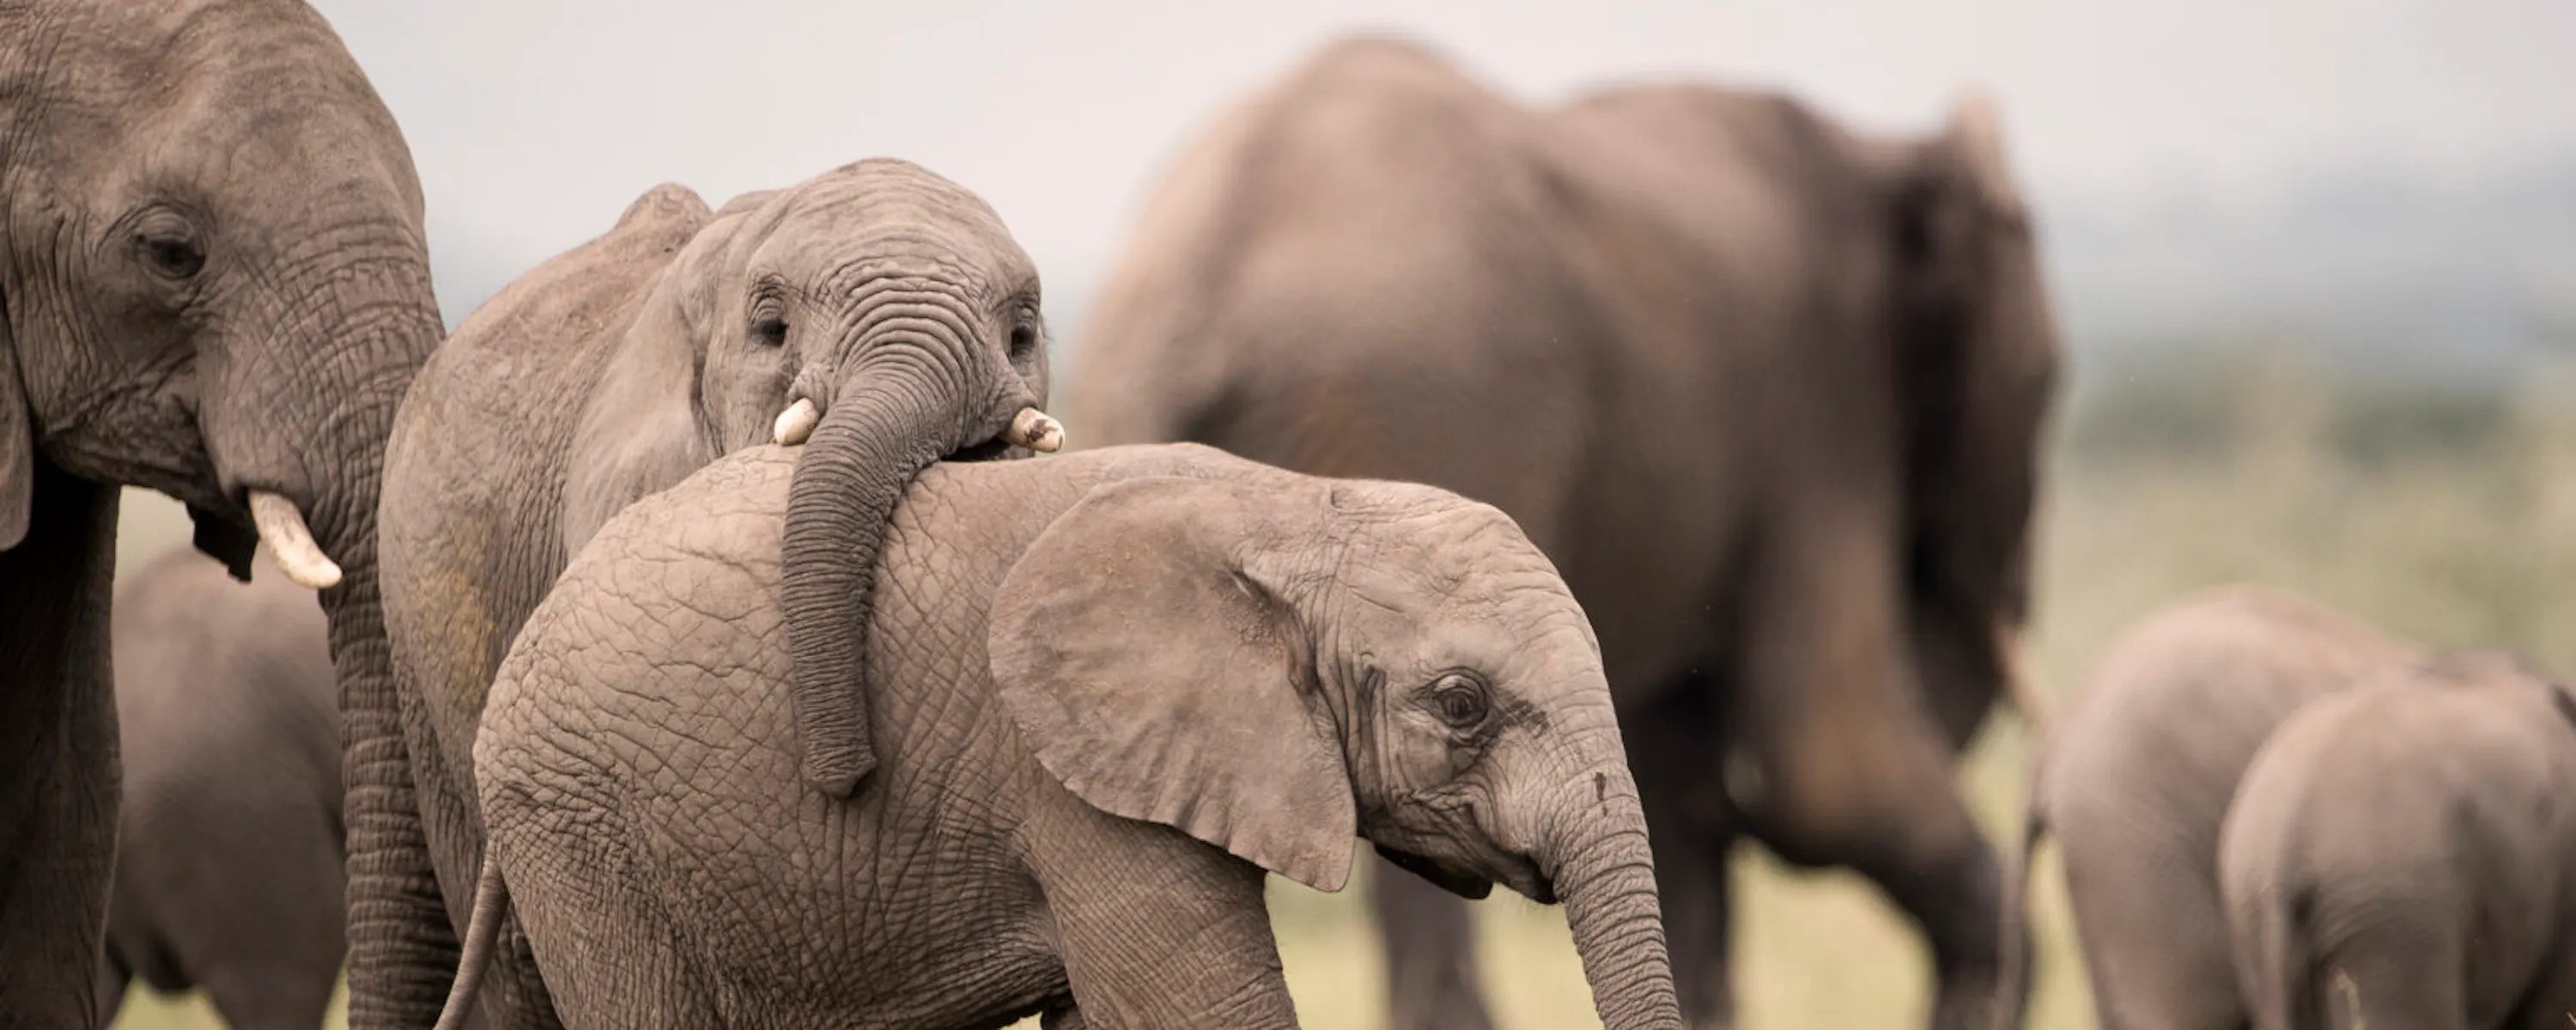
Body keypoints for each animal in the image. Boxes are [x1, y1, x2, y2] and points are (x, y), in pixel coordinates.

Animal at [1067, 34, 2059, 1030]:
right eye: (2046, 385)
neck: (1881, 155)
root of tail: (1194, 294)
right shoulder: (1823, 403)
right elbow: (1825, 762)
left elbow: (1684, 769)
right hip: (1426, 400)